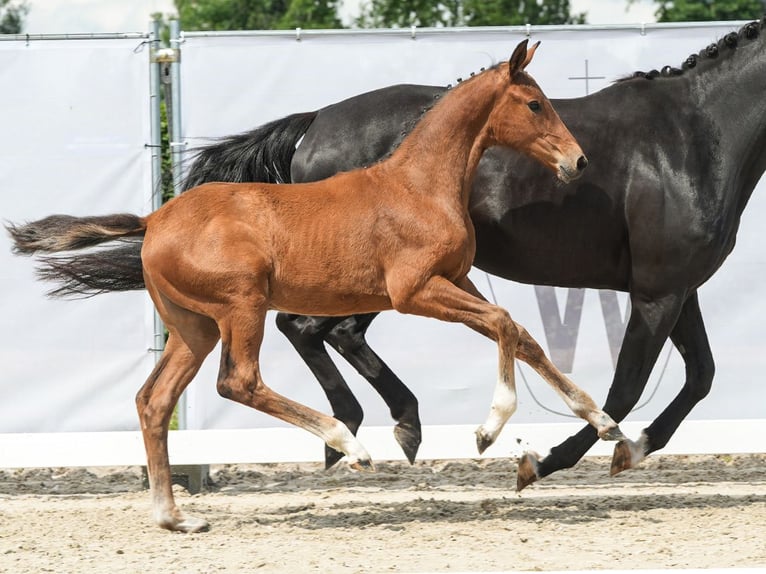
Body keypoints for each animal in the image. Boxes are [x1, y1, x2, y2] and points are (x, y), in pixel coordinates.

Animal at [9, 41, 628, 536]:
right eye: (535, 104)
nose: (578, 161)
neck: (419, 185)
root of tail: (154, 220)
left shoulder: (457, 279)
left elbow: (523, 337)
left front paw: (604, 423)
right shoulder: (415, 293)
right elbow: (503, 326)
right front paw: (488, 430)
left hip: (194, 327)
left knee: (153, 400)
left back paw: (176, 518)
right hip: (243, 307)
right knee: (239, 381)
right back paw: (349, 445)